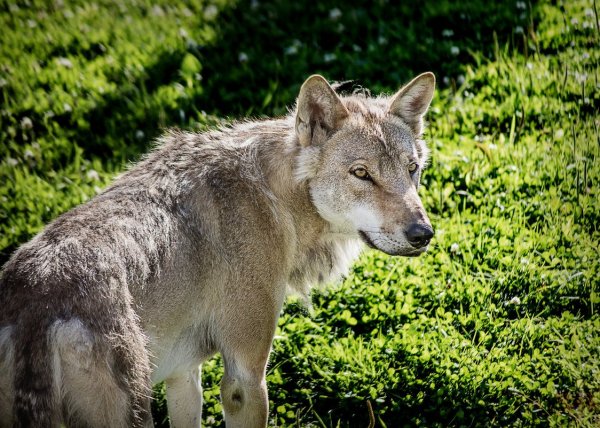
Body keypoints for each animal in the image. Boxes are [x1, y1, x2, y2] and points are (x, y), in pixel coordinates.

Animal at [2, 72, 438, 426]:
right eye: (361, 173)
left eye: (412, 169)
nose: (423, 234)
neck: (276, 199)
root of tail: (33, 305)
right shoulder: (244, 379)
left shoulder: (184, 374)